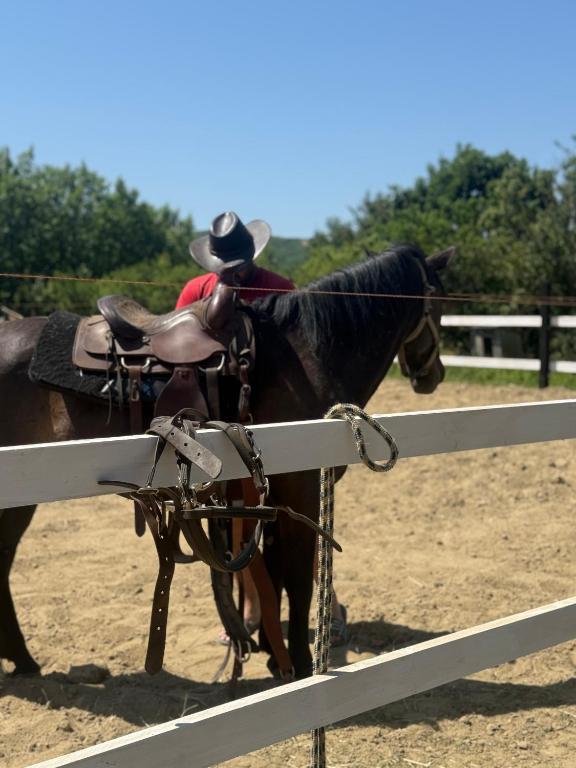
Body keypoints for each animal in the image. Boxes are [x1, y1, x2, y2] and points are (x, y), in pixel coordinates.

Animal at [0, 243, 453, 679]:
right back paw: (23, 659)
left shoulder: (270, 492)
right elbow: (297, 579)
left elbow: (272, 571)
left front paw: (274, 653)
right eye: (439, 300)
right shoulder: (302, 487)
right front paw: (301, 664)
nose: (434, 376)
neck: (305, 355)